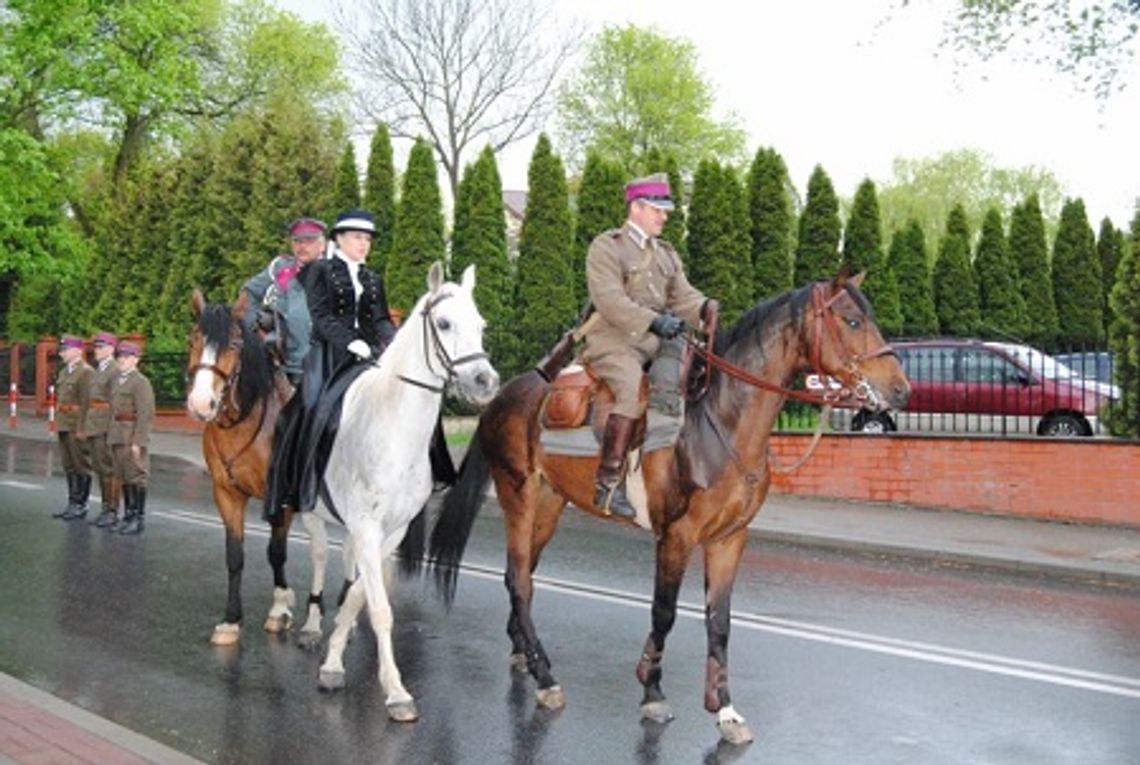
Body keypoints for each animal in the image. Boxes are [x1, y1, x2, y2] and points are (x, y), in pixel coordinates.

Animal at [307, 263, 499, 725]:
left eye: (481, 325)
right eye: (444, 323)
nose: (486, 381)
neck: (393, 429)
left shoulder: (388, 532)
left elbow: (361, 595)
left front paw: (334, 658)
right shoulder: (367, 526)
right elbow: (380, 609)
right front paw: (395, 691)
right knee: (311, 553)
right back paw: (295, 619)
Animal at [426, 272, 907, 743]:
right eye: (851, 321)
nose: (901, 389)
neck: (720, 423)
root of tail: (503, 394)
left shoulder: (730, 539)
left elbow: (719, 621)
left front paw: (726, 710)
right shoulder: (676, 536)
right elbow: (665, 612)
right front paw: (652, 692)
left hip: (549, 505)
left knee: (523, 575)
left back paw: (526, 654)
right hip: (519, 497)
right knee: (519, 580)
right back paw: (546, 678)